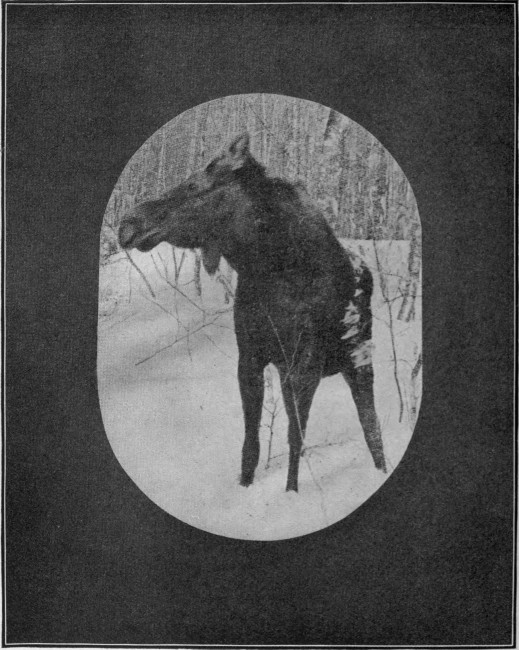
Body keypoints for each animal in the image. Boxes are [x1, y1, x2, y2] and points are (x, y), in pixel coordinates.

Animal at [119, 135, 386, 492]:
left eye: (193, 185)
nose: (128, 223)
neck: (269, 269)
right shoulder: (251, 358)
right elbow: (252, 444)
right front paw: (245, 486)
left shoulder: (305, 365)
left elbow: (295, 439)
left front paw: (291, 493)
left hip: (358, 359)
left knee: (371, 424)